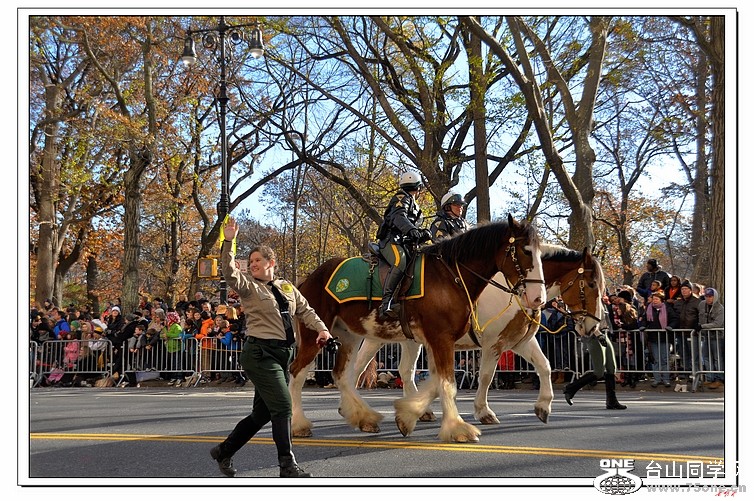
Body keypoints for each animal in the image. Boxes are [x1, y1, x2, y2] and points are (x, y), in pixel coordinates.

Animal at [290, 216, 546, 443]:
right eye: (525, 251)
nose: (538, 299)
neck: (451, 277)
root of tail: (308, 278)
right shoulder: (446, 339)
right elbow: (448, 384)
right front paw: (457, 428)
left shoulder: (440, 342)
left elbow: (437, 381)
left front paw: (409, 414)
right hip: (316, 334)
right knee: (297, 373)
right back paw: (299, 424)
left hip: (349, 336)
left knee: (343, 374)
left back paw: (365, 417)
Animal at [330, 244, 606, 433]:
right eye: (592, 284)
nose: (594, 327)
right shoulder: (493, 344)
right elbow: (485, 376)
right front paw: (483, 411)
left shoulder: (519, 342)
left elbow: (545, 366)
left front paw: (543, 407)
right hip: (376, 337)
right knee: (359, 366)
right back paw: (351, 407)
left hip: (409, 340)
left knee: (405, 370)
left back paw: (419, 410)